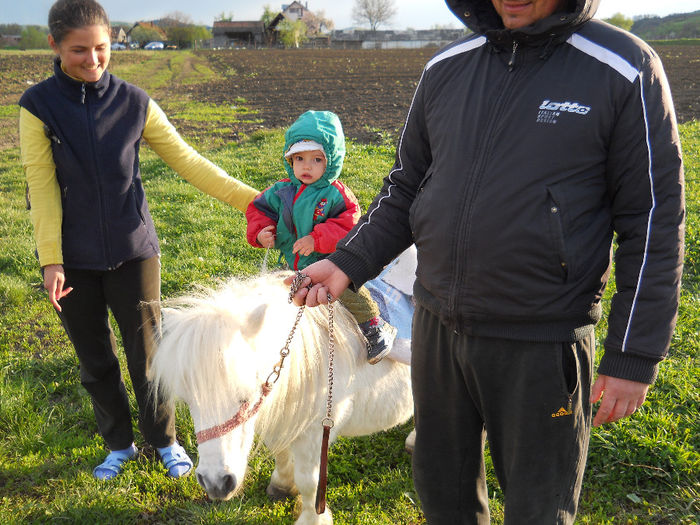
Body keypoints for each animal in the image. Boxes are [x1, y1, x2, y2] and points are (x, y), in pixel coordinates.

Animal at [150, 272, 412, 520]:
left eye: (246, 397)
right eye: (190, 402)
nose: (216, 483)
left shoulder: (317, 434)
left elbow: (309, 482)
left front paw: (311, 518)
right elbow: (281, 452)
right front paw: (282, 485)